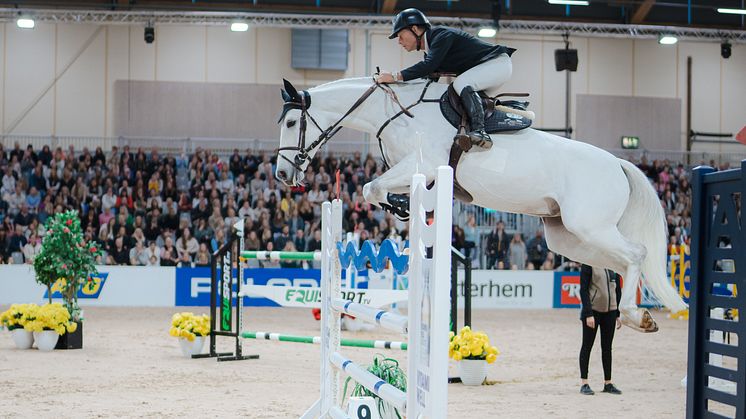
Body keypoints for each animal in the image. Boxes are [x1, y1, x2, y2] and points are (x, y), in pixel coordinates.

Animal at [274, 75, 684, 332]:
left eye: (292, 122)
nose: (281, 174)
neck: (395, 115)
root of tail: (619, 164)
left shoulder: (424, 166)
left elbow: (371, 188)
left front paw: (402, 205)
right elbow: (372, 189)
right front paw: (401, 205)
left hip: (589, 226)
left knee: (636, 254)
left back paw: (634, 315)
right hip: (567, 237)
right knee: (622, 262)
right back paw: (638, 316)